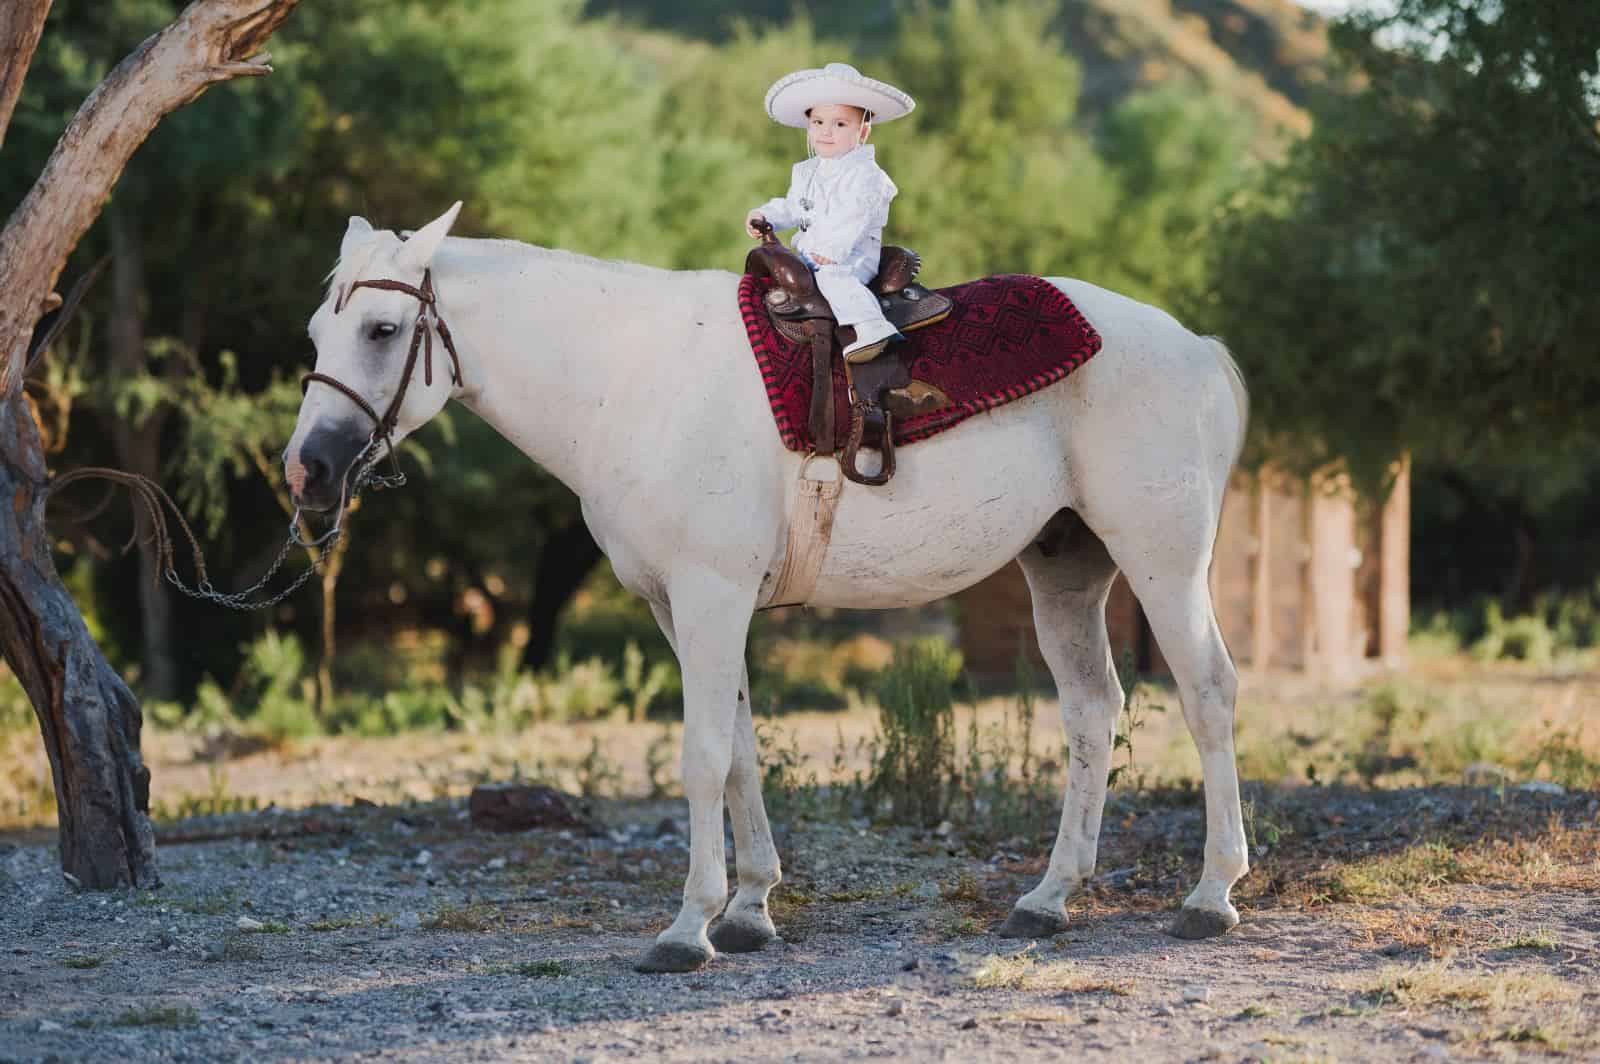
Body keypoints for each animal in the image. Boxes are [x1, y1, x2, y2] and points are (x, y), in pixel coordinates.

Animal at [294, 201, 1254, 972]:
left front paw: (688, 929)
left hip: (1163, 562)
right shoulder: (684, 608)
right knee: (1092, 710)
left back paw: (1211, 896)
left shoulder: (710, 597)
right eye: (315, 334)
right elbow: (741, 751)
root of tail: (1199, 349)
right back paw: (1048, 899)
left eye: (381, 330)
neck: (627, 380)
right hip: (1066, 570)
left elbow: (702, 758)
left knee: (1208, 693)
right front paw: (750, 910)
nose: (308, 470)